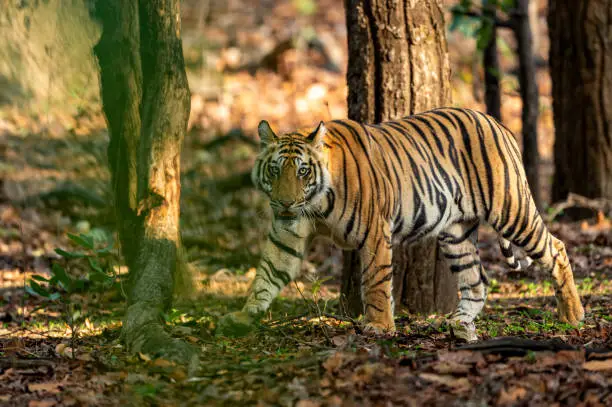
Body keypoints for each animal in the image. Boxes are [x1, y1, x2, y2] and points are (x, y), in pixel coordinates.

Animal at [218, 107, 584, 342]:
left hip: (511, 210)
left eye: (303, 171)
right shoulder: (287, 233)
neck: (315, 205)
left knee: (555, 247)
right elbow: (267, 273)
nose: (284, 203)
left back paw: (572, 314)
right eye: (275, 170)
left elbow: (376, 282)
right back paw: (460, 325)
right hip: (456, 234)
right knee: (476, 281)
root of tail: (497, 122)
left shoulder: (373, 232)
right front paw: (243, 315)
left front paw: (380, 326)